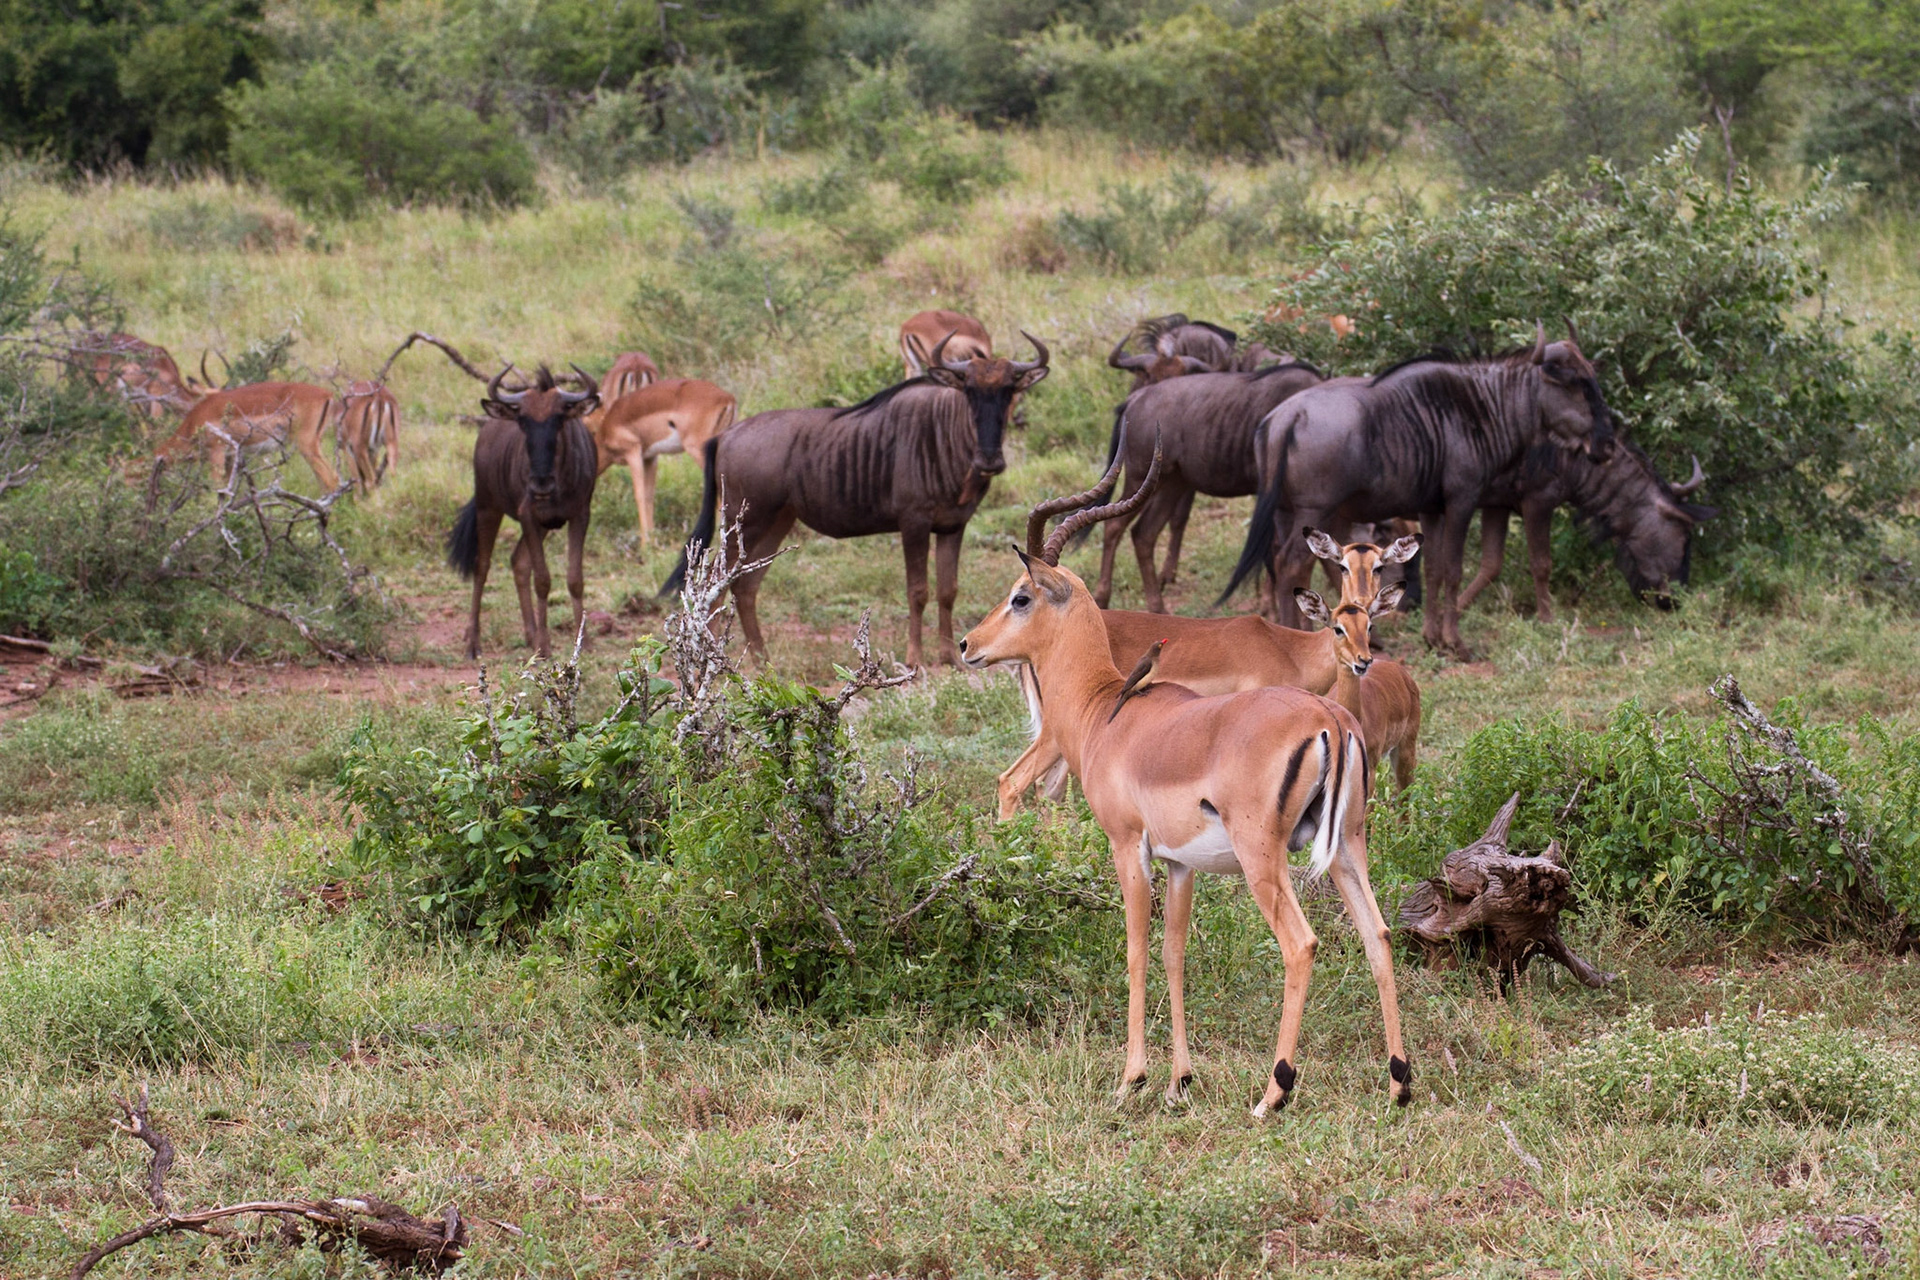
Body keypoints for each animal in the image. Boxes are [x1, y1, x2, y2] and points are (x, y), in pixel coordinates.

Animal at [148, 381, 343, 492]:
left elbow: (216, 489)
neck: (194, 422)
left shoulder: (217, 450)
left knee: (331, 480)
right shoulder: (230, 456)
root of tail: (327, 394)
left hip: (307, 445)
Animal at [447, 366, 599, 659]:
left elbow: (575, 579)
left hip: (540, 526)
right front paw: (545, 646)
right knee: (481, 566)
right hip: (488, 507)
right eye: (523, 422)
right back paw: (473, 642)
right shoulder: (528, 515)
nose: (540, 485)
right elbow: (542, 580)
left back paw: (530, 635)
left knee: (519, 562)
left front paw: (582, 642)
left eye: (559, 419)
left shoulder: (579, 515)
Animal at [589, 378, 737, 542]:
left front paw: (645, 543)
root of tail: (727, 398)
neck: (607, 430)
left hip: (699, 450)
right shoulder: (649, 458)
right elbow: (649, 495)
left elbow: (639, 495)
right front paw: (652, 538)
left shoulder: (633, 453)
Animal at [661, 332, 1049, 670]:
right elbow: (918, 591)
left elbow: (947, 591)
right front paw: (915, 659)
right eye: (968, 390)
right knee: (716, 586)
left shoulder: (953, 526)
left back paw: (763, 662)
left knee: (745, 587)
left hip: (776, 523)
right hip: (747, 522)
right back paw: (712, 662)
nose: (990, 461)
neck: (947, 435)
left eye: (1009, 390)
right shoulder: (914, 524)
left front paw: (950, 657)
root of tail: (725, 435)